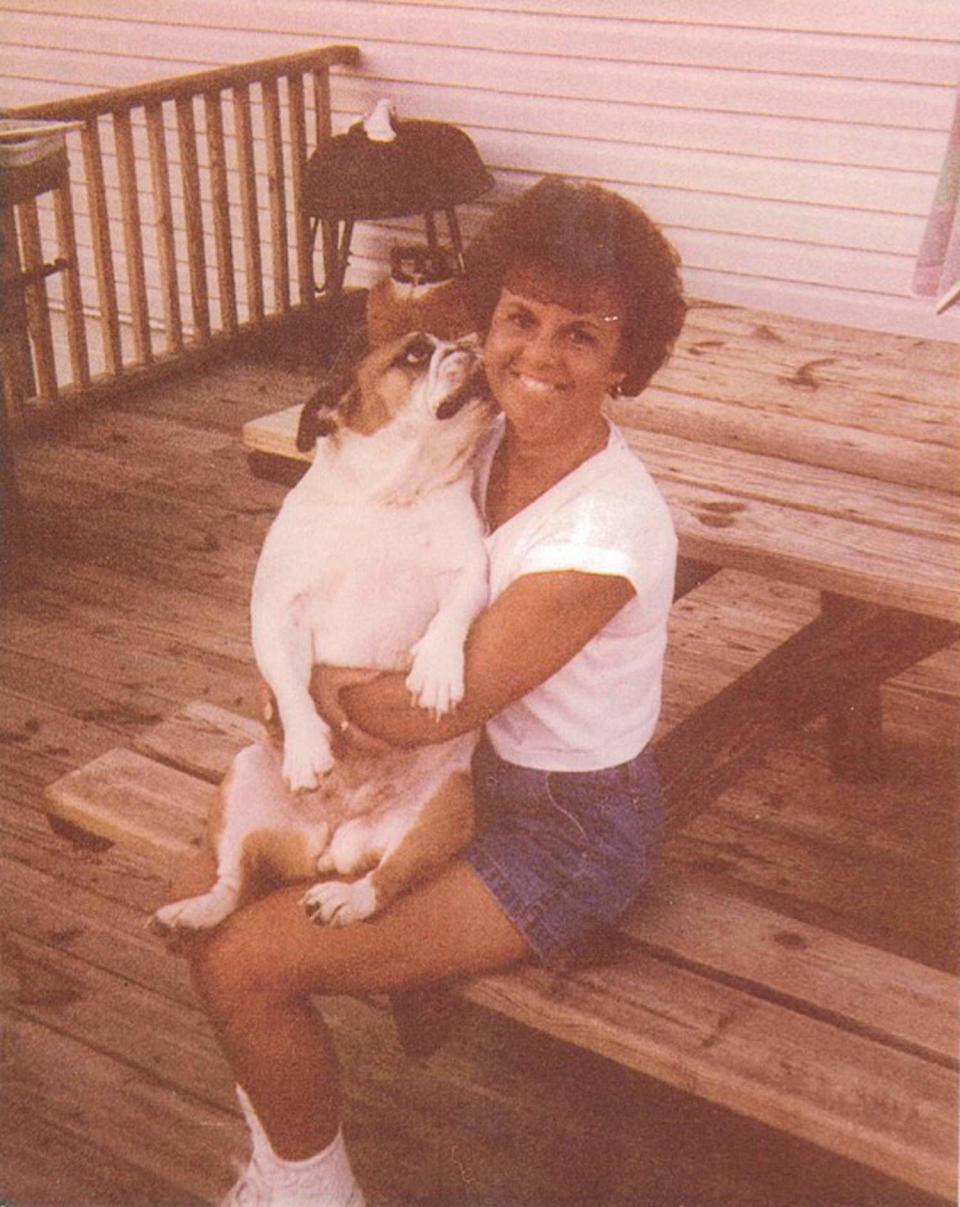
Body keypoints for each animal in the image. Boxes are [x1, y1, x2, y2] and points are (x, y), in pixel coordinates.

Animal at [155, 330, 495, 931]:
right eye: (415, 352)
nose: (471, 341)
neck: (387, 496)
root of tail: (334, 838)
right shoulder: (277, 608)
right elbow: (291, 685)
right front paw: (308, 747)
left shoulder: (469, 570)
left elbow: (450, 617)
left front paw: (435, 671)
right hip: (243, 776)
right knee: (231, 882)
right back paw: (193, 911)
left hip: (446, 806)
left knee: (386, 878)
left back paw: (344, 898)